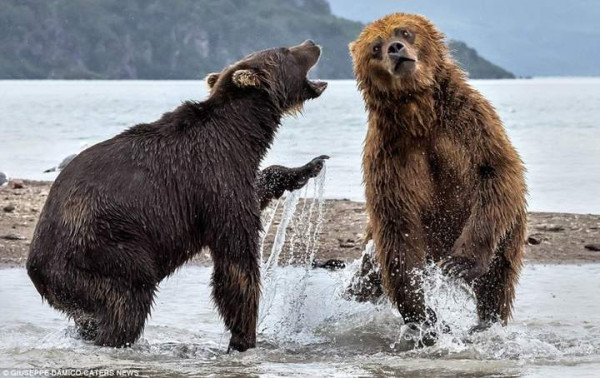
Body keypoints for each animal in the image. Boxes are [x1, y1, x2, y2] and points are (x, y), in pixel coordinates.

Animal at [27, 40, 328, 352]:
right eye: (285, 51)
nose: (312, 44)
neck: (242, 133)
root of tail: (36, 268)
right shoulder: (213, 176)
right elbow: (236, 259)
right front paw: (243, 337)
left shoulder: (232, 173)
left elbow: (257, 188)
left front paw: (307, 167)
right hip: (102, 248)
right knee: (128, 299)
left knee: (92, 316)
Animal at [350, 13, 528, 330]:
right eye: (375, 47)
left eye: (404, 32)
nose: (395, 49)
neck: (420, 114)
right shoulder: (389, 155)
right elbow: (397, 225)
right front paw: (424, 315)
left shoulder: (469, 122)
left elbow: (496, 171)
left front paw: (458, 264)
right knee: (371, 272)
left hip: (508, 238)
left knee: (497, 281)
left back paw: (487, 321)